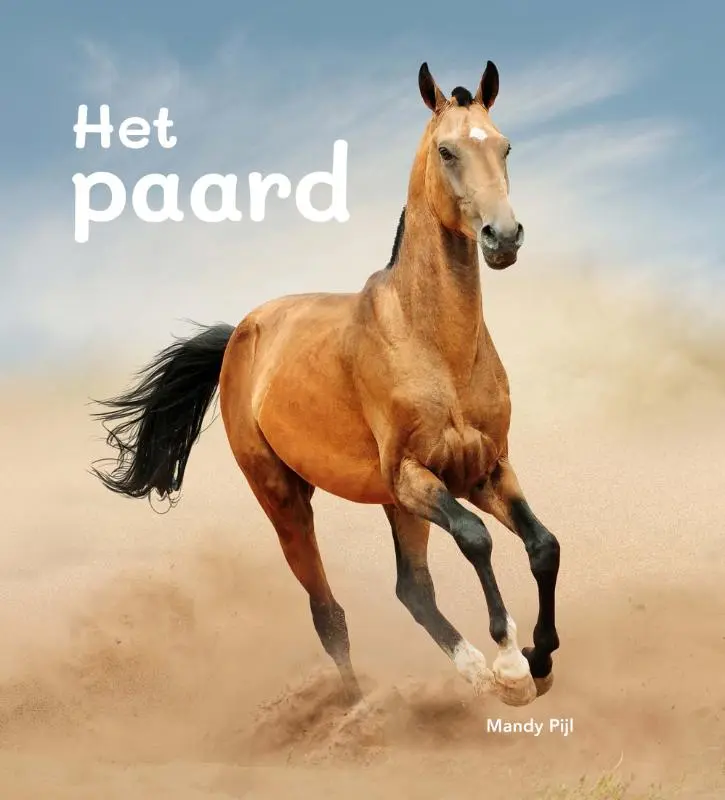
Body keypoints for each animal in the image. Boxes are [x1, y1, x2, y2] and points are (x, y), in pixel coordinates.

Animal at [92, 61, 561, 708]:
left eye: (505, 145)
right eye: (447, 150)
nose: (504, 237)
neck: (436, 345)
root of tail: (241, 332)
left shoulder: (486, 468)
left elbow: (543, 546)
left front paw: (539, 660)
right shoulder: (416, 476)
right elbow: (476, 539)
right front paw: (512, 664)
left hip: (392, 502)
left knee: (412, 590)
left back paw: (468, 673)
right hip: (287, 499)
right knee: (328, 613)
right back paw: (360, 707)